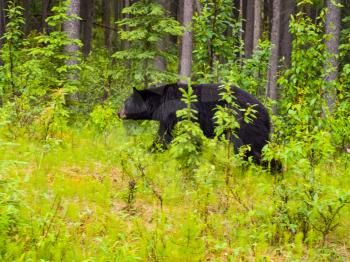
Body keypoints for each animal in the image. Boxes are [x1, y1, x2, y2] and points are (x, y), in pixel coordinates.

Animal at [119, 83, 272, 164]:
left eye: (126, 102)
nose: (118, 112)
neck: (161, 102)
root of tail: (266, 113)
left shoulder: (175, 115)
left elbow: (165, 138)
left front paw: (148, 151)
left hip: (245, 126)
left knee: (253, 148)